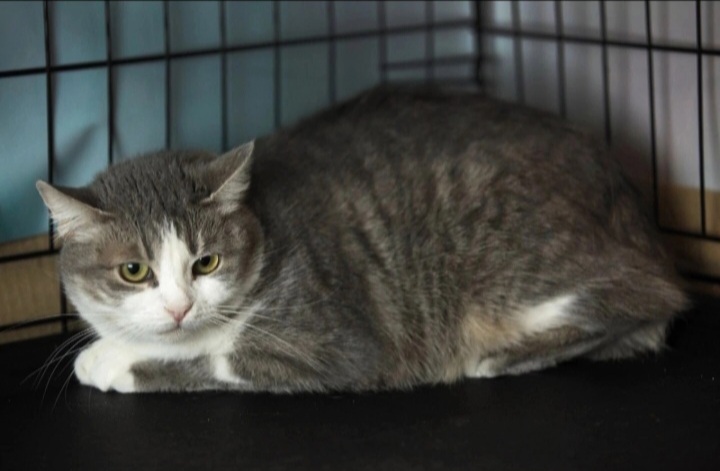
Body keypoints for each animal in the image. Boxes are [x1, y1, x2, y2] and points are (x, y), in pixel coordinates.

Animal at [36, 85, 687, 394]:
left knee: (648, 301)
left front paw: (109, 358)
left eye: (207, 263)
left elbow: (210, 355)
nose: (177, 308)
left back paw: (499, 356)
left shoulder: (337, 343)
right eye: (134, 271)